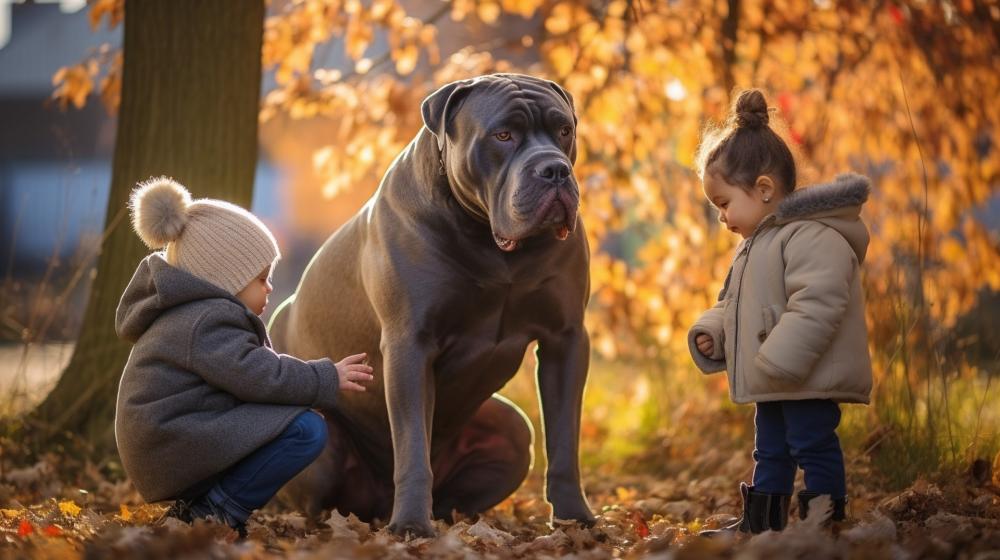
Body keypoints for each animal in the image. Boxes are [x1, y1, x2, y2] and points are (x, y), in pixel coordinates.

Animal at [268, 72, 592, 536]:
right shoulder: (410, 344)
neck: (493, 246)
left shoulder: (565, 339)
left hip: (512, 430)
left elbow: (564, 441)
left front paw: (574, 517)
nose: (555, 169)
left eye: (564, 130)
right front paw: (410, 526)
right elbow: (413, 448)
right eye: (503, 135)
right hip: (319, 433)